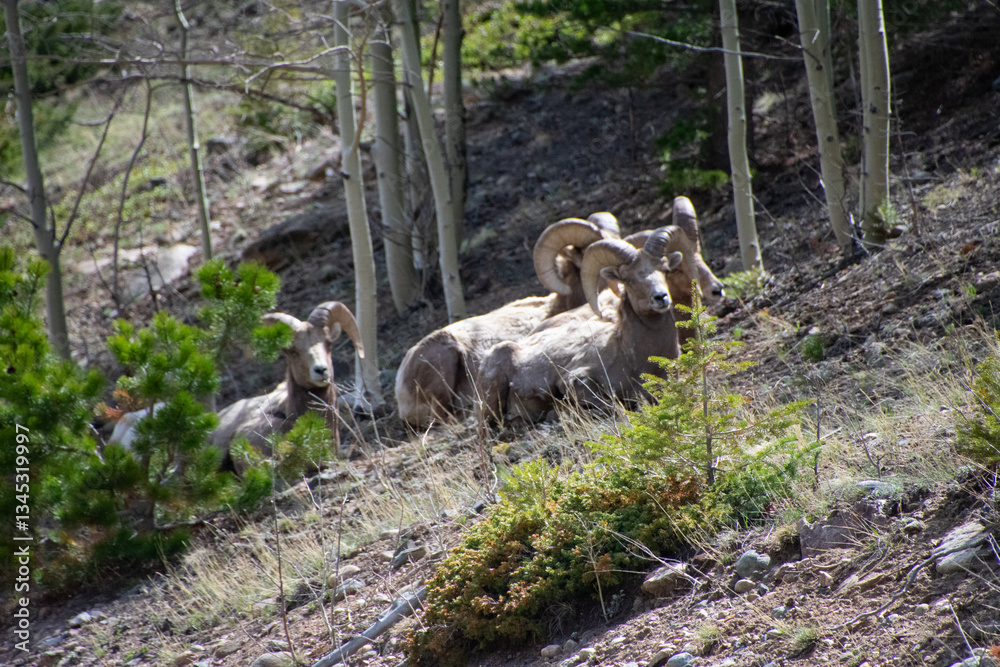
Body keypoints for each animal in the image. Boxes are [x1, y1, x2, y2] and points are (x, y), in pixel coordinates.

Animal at [477, 224, 694, 426]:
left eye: (664, 270)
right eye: (628, 279)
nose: (661, 297)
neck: (633, 358)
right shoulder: (573, 381)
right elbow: (611, 407)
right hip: (491, 402)